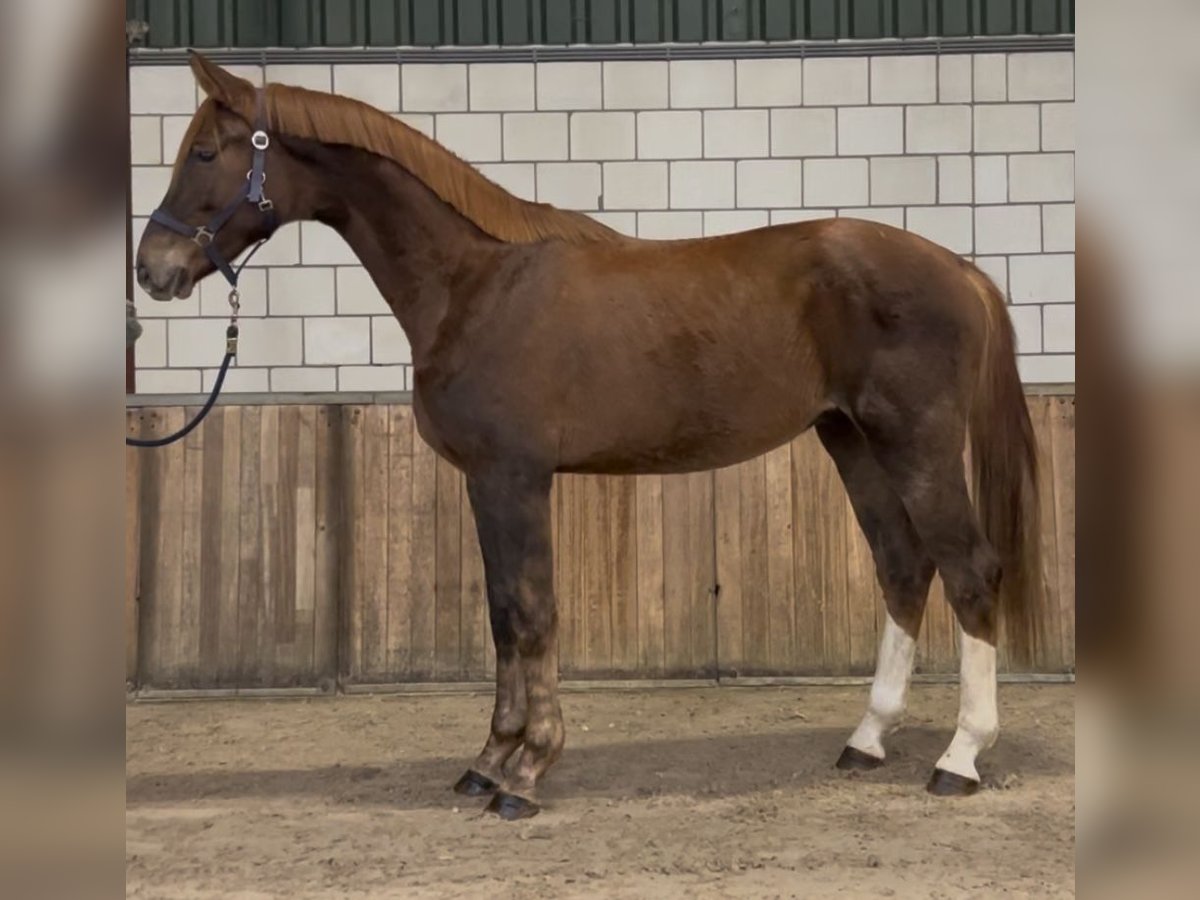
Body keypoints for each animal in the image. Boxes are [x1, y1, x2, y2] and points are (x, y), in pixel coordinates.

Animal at [138, 52, 1041, 820]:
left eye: (207, 152)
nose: (153, 270)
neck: (476, 285)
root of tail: (960, 268)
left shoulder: (515, 477)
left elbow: (533, 614)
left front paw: (527, 772)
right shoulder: (484, 482)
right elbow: (503, 613)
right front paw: (487, 763)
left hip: (917, 442)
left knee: (969, 570)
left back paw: (959, 758)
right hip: (851, 438)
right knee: (902, 566)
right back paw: (868, 740)